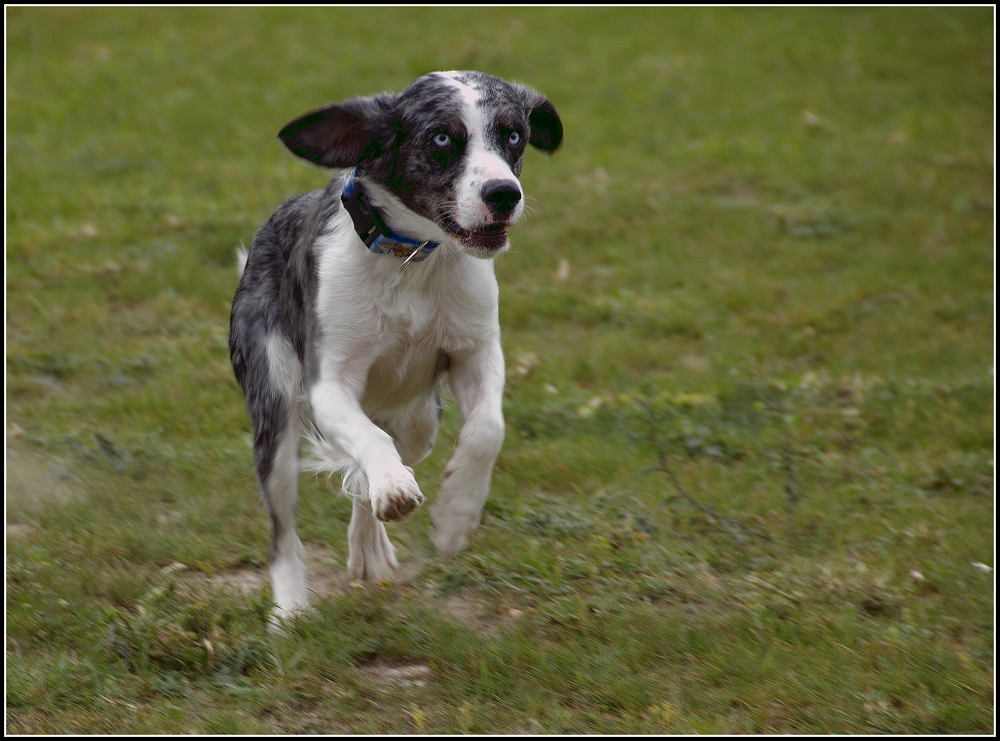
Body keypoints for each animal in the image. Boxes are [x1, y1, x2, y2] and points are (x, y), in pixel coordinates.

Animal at [229, 72, 568, 620]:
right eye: (442, 138)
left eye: (514, 135)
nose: (504, 194)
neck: (411, 260)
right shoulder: (329, 382)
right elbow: (369, 441)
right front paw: (395, 486)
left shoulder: (475, 351)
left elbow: (487, 429)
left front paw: (454, 519)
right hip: (275, 404)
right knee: (284, 532)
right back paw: (291, 612)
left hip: (419, 419)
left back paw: (369, 550)